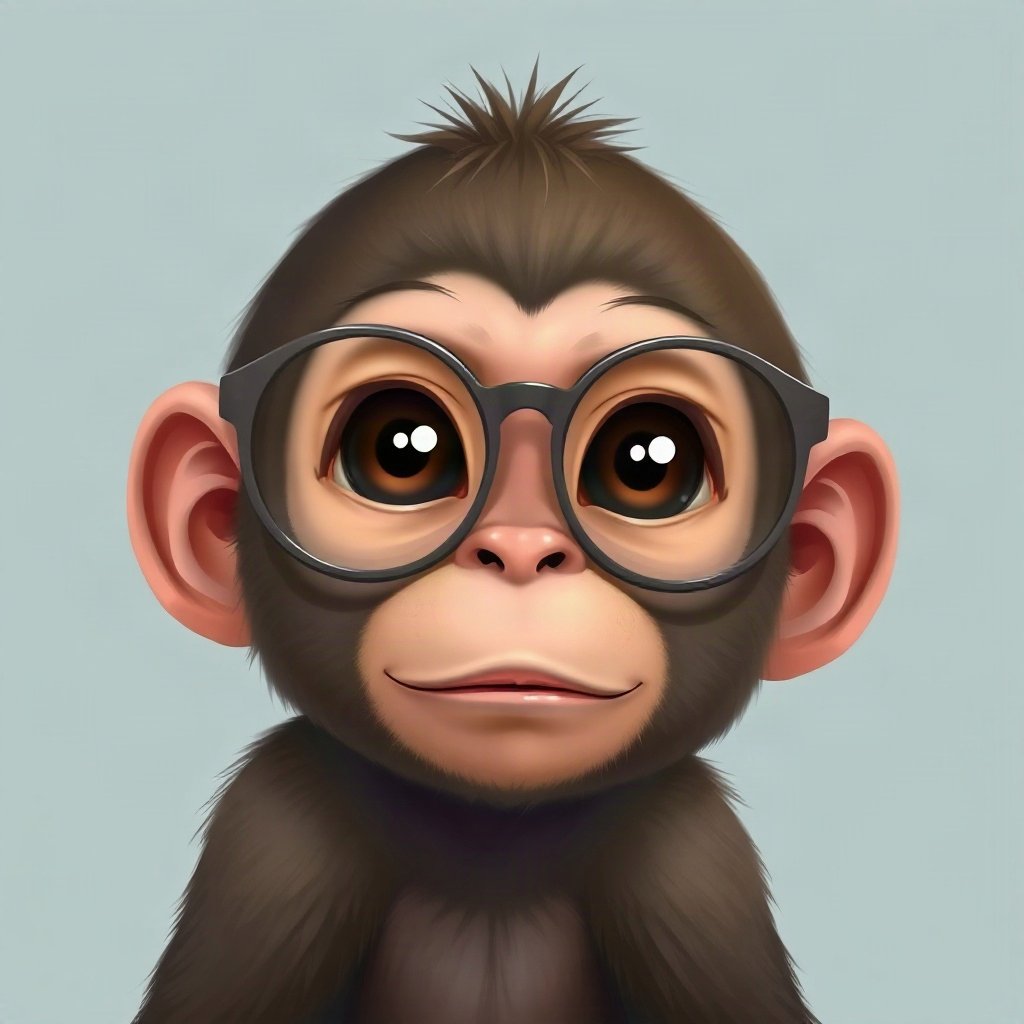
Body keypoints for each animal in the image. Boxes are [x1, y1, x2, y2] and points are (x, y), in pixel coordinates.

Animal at [126, 66, 899, 1024]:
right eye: (401, 447)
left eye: (649, 459)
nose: (522, 549)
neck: (490, 846)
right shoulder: (274, 837)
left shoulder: (691, 861)